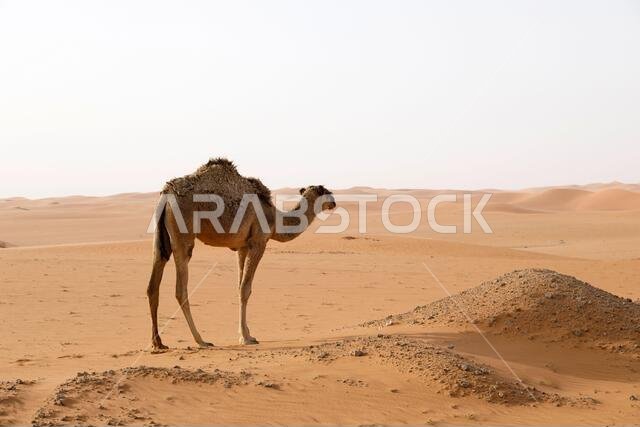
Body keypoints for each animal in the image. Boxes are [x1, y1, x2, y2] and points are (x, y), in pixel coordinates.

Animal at [146, 158, 336, 349]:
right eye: (324, 190)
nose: (334, 202)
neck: (274, 219)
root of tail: (166, 194)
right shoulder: (258, 242)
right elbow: (246, 289)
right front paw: (246, 338)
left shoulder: (242, 247)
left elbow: (239, 287)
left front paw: (246, 333)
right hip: (183, 234)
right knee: (181, 289)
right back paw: (201, 340)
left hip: (160, 237)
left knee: (153, 283)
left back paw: (158, 342)